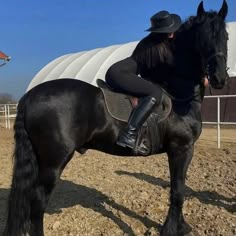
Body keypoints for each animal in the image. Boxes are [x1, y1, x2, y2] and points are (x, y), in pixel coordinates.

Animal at [3, 0, 229, 235]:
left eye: (225, 37)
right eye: (203, 38)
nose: (219, 78)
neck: (178, 96)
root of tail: (30, 95)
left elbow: (180, 187)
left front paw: (182, 225)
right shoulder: (181, 148)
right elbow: (177, 190)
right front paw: (171, 228)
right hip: (54, 161)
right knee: (38, 203)